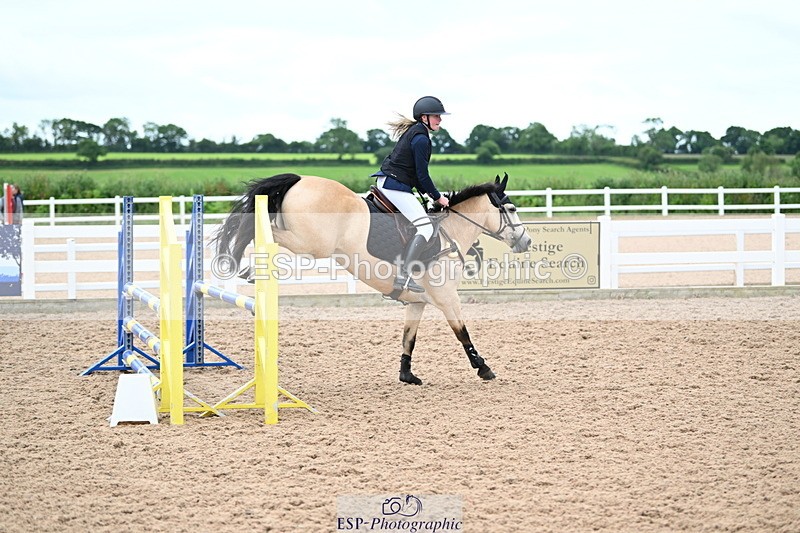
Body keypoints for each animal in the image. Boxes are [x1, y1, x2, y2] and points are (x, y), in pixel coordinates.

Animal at [213, 172, 532, 385]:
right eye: (512, 209)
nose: (526, 241)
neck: (450, 233)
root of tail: (300, 179)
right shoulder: (446, 298)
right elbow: (463, 333)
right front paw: (483, 368)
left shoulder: (417, 302)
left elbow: (408, 338)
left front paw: (407, 374)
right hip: (312, 243)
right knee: (261, 229)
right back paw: (249, 268)